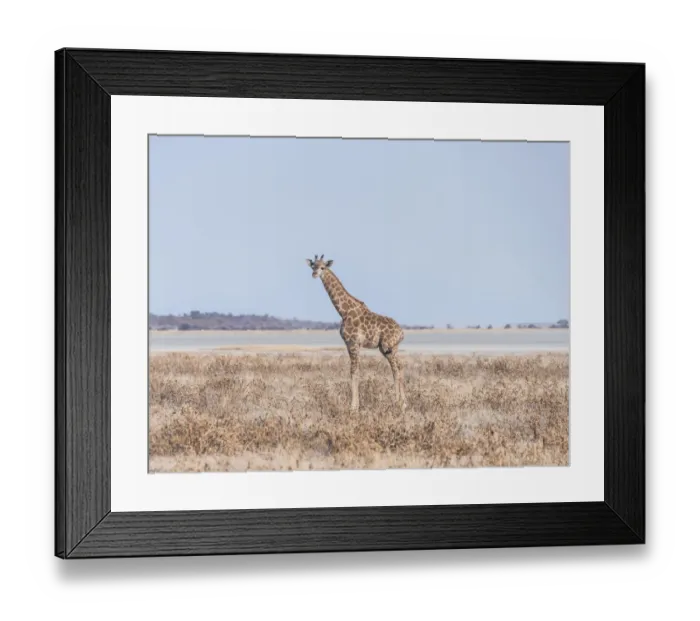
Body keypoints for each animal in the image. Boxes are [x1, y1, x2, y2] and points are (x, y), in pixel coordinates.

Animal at [306, 254, 406, 412]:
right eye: (313, 266)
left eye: (323, 267)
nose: (314, 274)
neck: (344, 312)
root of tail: (402, 333)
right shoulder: (352, 344)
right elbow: (355, 371)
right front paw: (355, 405)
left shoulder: (352, 342)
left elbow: (354, 372)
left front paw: (353, 407)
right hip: (391, 348)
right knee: (399, 367)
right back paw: (403, 402)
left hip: (387, 347)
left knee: (396, 369)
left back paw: (397, 403)